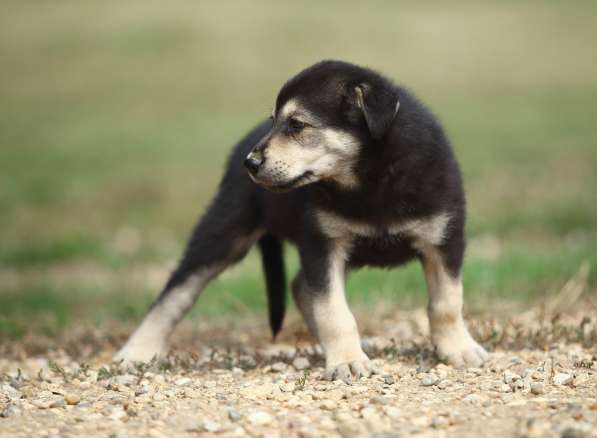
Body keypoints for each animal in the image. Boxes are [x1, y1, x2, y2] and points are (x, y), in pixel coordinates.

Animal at [114, 60, 486, 378]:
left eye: (296, 125)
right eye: (274, 121)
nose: (250, 163)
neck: (369, 181)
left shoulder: (444, 239)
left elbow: (447, 302)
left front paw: (459, 349)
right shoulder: (322, 244)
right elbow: (333, 311)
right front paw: (347, 361)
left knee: (298, 286)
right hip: (224, 231)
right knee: (175, 293)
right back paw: (136, 352)